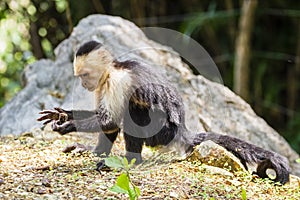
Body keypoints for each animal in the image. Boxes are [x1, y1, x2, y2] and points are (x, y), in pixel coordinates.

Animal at [37, 40, 290, 184]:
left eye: (84, 75)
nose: (82, 84)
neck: (111, 71)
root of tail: (183, 132)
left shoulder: (118, 81)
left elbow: (110, 119)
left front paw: (67, 126)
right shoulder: (101, 85)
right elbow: (105, 120)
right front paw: (65, 116)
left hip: (163, 133)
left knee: (134, 111)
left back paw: (131, 160)